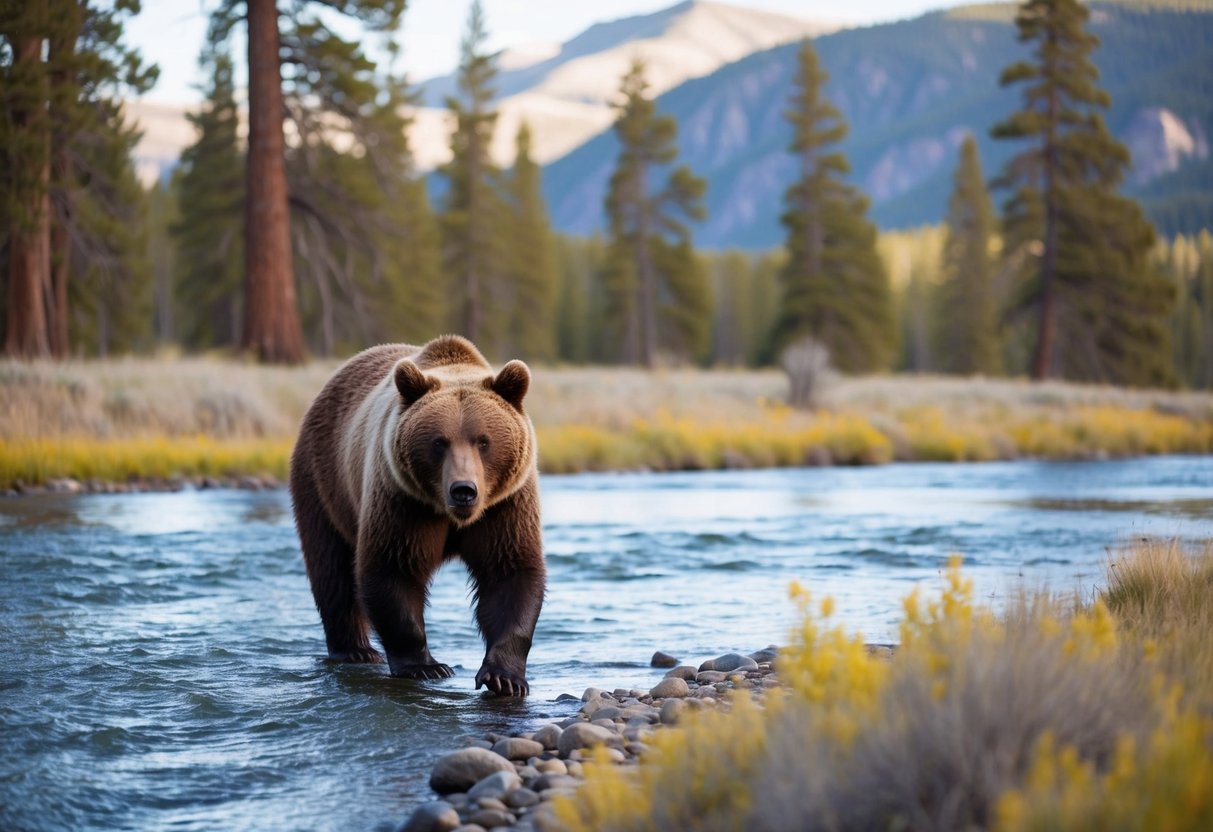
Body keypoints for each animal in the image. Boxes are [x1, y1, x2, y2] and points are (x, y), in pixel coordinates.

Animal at [289, 335, 545, 696]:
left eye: (483, 441)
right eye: (439, 442)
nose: (463, 490)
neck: (454, 517)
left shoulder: (505, 506)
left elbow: (510, 573)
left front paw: (504, 677)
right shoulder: (403, 501)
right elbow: (393, 569)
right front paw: (426, 667)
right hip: (324, 482)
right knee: (330, 567)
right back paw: (355, 649)